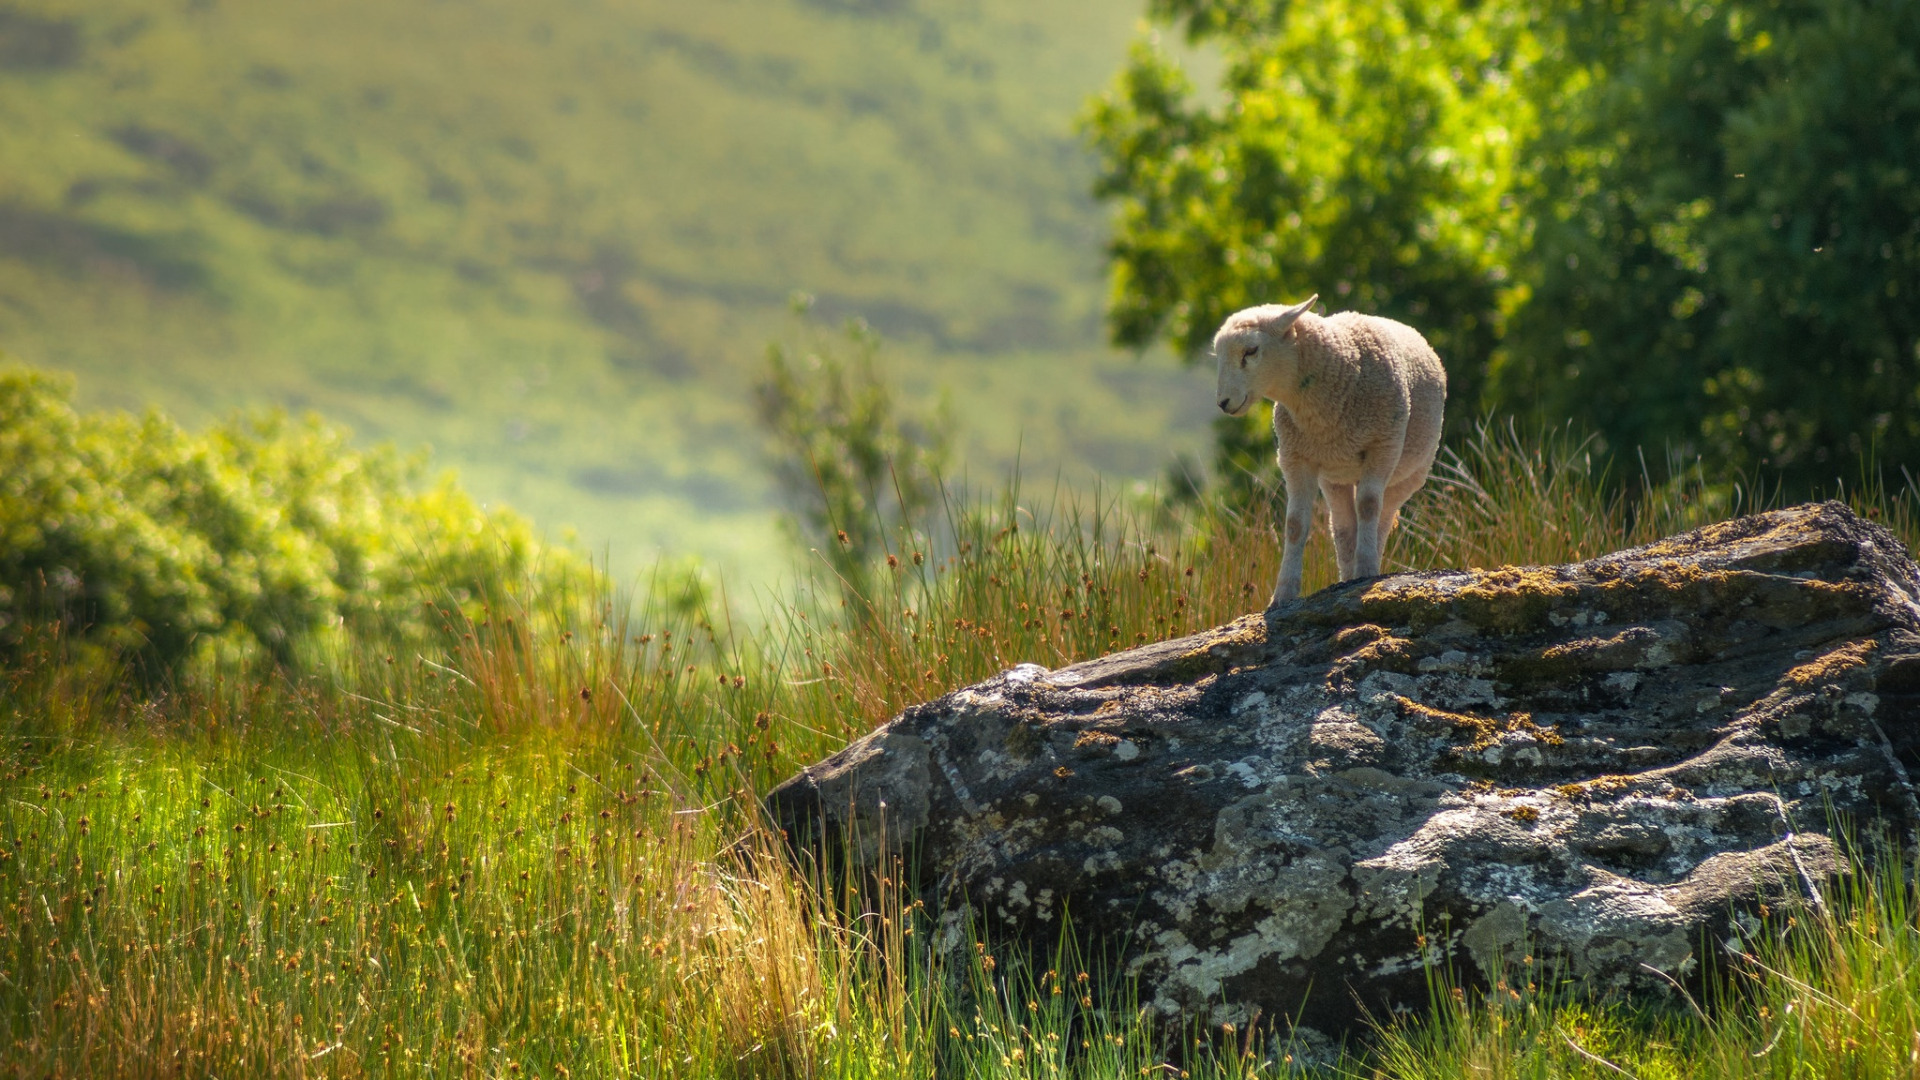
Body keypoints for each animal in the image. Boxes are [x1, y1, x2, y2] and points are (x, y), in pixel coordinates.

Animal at [1213, 292, 1443, 607]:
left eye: (1251, 351)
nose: (1223, 402)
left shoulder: (1382, 447)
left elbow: (1368, 506)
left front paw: (1367, 569)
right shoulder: (1295, 457)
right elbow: (1295, 524)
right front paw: (1283, 594)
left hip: (1409, 473)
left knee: (1381, 516)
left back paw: (1367, 565)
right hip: (1335, 476)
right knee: (1344, 525)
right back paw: (1346, 576)